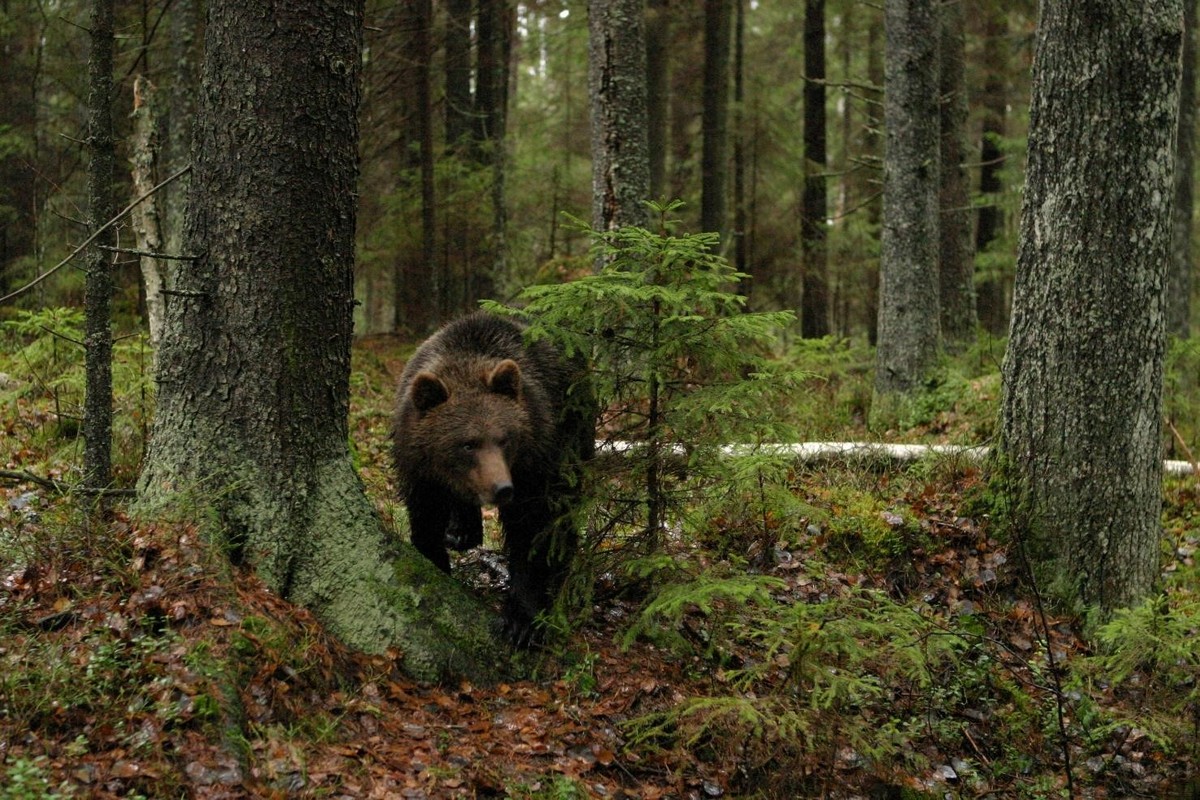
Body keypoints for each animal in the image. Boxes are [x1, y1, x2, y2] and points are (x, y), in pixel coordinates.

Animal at [393, 309, 595, 647]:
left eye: (504, 439)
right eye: (467, 443)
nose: (502, 489)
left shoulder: (535, 464)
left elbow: (532, 532)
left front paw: (522, 621)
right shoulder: (418, 466)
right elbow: (425, 517)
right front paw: (436, 561)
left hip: (574, 432)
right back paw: (461, 530)